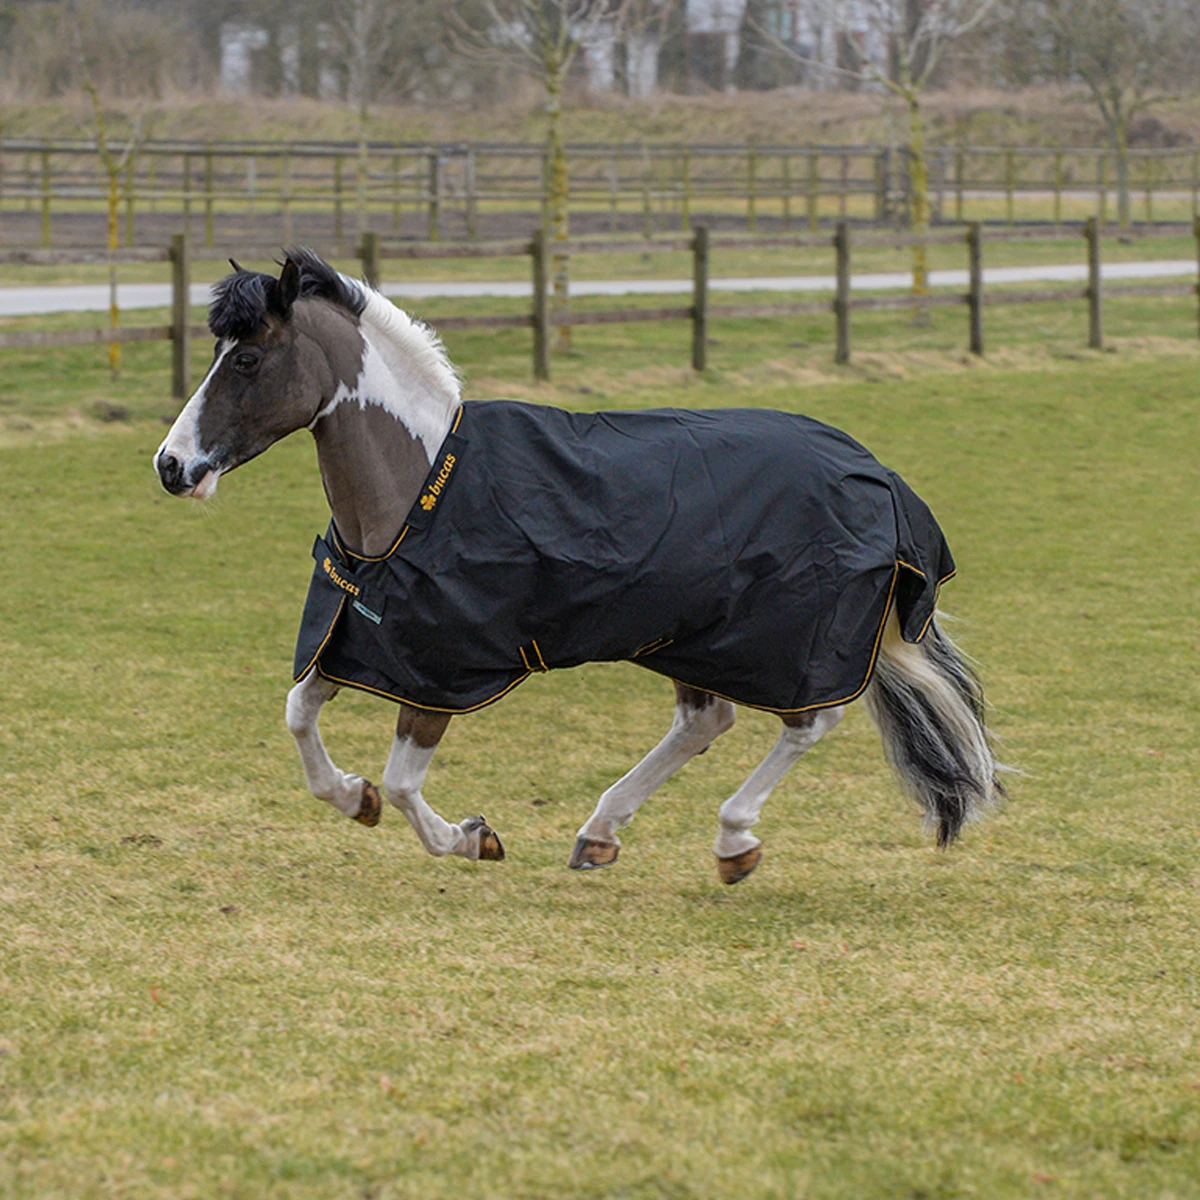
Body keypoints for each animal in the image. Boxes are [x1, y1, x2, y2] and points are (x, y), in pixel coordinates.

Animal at [154, 250, 1004, 884]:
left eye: (248, 358)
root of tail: (880, 476)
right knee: (706, 721)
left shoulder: (440, 671)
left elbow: (401, 783)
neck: (417, 490)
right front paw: (351, 797)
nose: (171, 466)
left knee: (808, 721)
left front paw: (472, 837)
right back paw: (600, 833)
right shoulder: (358, 642)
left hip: (783, 643)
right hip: (691, 637)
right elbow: (299, 717)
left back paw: (733, 841)